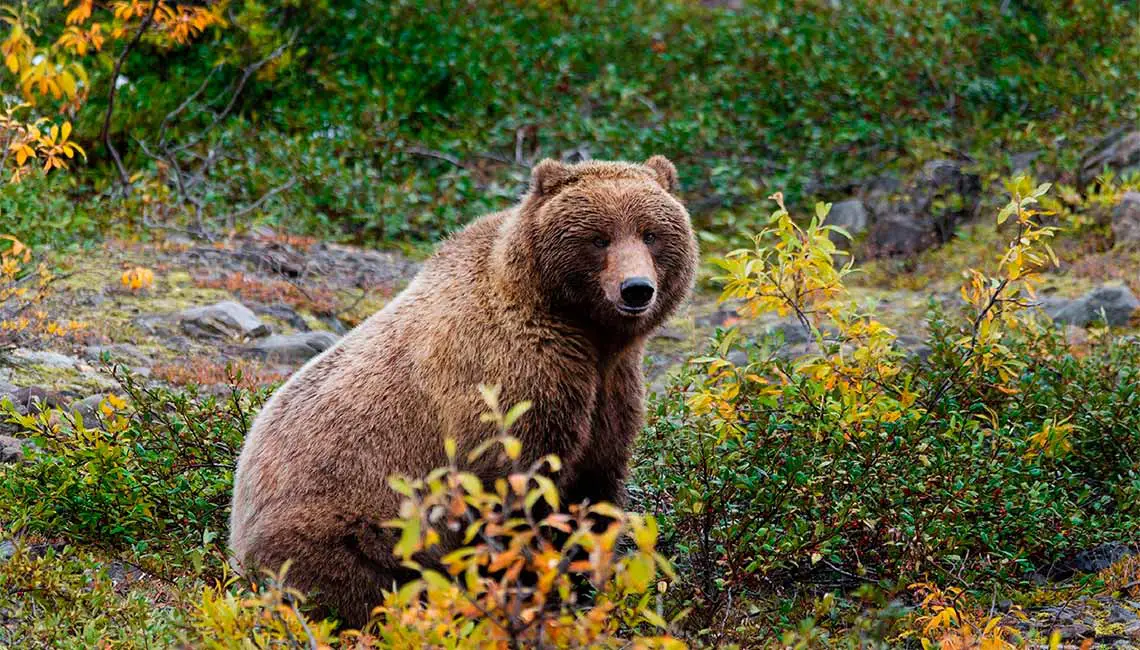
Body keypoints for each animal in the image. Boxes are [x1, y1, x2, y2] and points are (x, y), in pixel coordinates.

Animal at [228, 153, 697, 624]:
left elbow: (595, 492)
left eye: (651, 233)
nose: (636, 289)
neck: (583, 331)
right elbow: (516, 494)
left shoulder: (610, 391)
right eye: (599, 238)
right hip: (348, 524)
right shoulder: (510, 380)